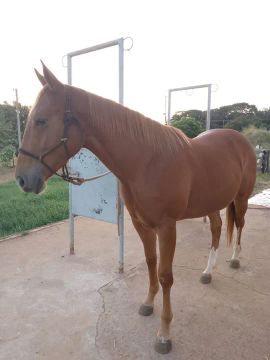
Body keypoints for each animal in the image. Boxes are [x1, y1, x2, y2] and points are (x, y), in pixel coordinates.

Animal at [15, 64, 256, 354]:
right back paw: (208, 272)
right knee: (218, 229)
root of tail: (240, 139)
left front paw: (164, 334)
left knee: (239, 226)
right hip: (212, 202)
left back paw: (235, 259)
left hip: (240, 198)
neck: (146, 161)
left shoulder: (166, 227)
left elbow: (165, 275)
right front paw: (148, 303)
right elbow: (151, 262)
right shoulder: (141, 224)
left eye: (41, 120)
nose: (22, 179)